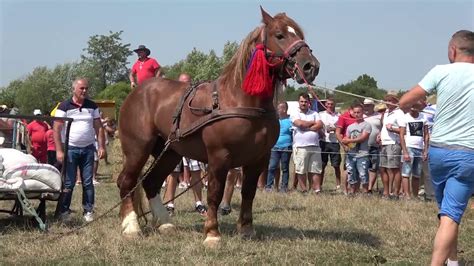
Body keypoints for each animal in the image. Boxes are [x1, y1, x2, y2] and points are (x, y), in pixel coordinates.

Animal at [117, 7, 320, 247]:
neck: (238, 100)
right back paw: (131, 226)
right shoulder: (219, 156)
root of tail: (135, 93)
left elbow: (249, 192)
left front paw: (246, 229)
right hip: (138, 147)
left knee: (151, 182)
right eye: (279, 35)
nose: (311, 66)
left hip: (169, 152)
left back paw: (165, 224)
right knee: (127, 181)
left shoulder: (258, 158)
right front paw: (212, 234)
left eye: (299, 34)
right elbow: (214, 193)